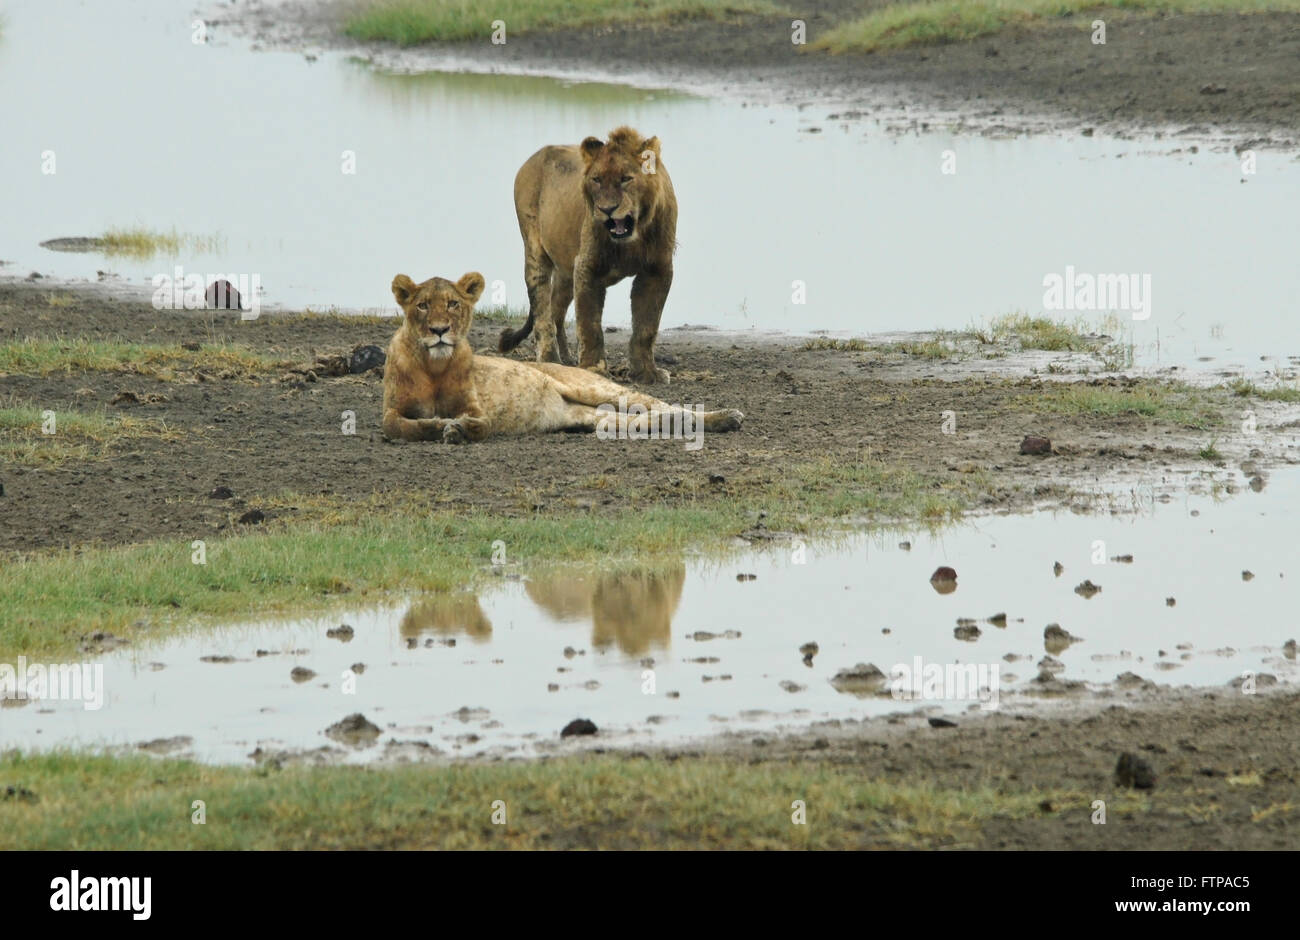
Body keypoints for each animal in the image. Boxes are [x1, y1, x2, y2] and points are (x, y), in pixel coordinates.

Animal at [379, 270, 743, 442]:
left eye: (453, 304)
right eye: (422, 305)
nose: (439, 330)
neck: (434, 366)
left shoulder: (476, 407)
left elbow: (480, 424)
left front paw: (456, 429)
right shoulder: (392, 408)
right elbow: (395, 426)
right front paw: (437, 426)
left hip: (598, 388)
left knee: (669, 406)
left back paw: (728, 416)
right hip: (595, 417)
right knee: (650, 418)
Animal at [496, 126, 681, 384]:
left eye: (626, 178)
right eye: (597, 180)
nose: (606, 209)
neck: (632, 238)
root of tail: (532, 158)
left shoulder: (657, 270)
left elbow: (646, 326)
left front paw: (647, 373)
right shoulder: (587, 266)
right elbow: (589, 324)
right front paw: (593, 368)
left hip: (566, 269)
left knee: (556, 308)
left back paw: (566, 359)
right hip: (534, 248)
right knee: (542, 309)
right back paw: (551, 358)